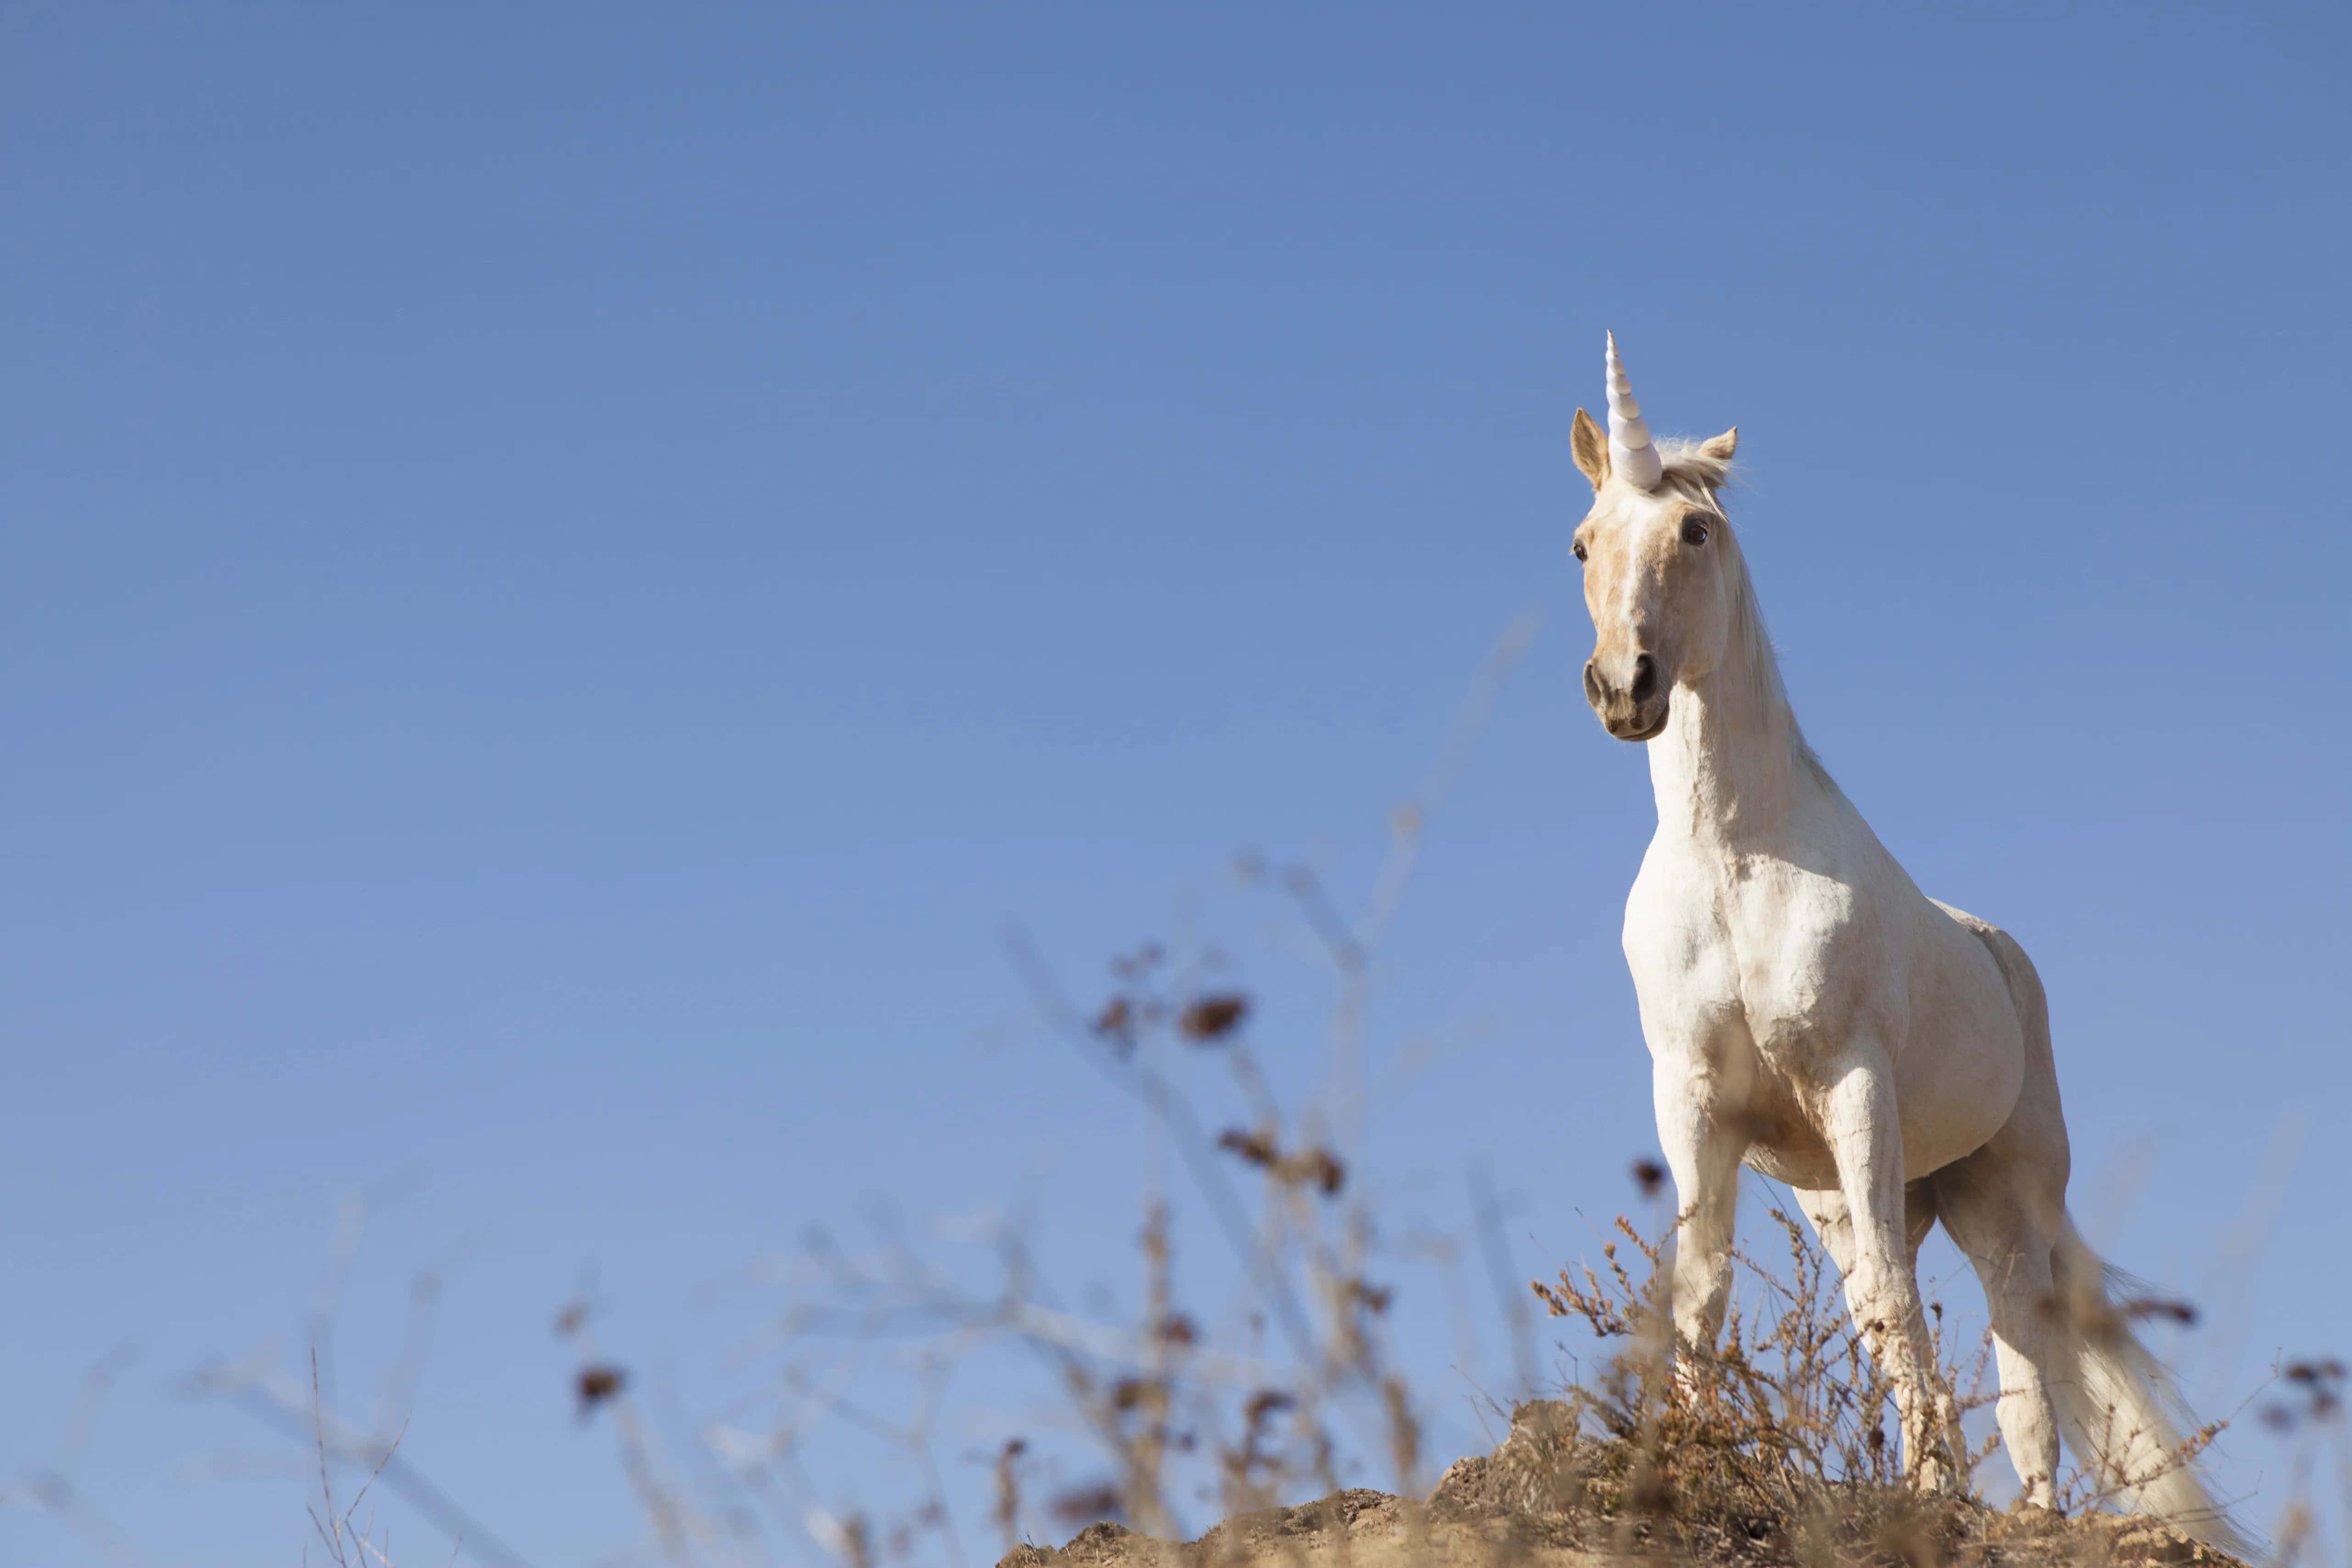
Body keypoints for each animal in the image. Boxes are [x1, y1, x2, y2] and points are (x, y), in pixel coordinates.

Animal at [1565, 333, 2243, 1550]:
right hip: (1850, 1197)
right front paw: (1683, 1465)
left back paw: (2022, 1509)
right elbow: (1700, 1292)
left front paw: (1930, 1492)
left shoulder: (1852, 1085)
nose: (1622, 687)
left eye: (1694, 532)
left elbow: (1896, 1309)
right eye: (1583, 542)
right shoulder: (1692, 1104)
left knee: (2019, 1356)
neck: (1735, 859)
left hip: (1996, 1197)